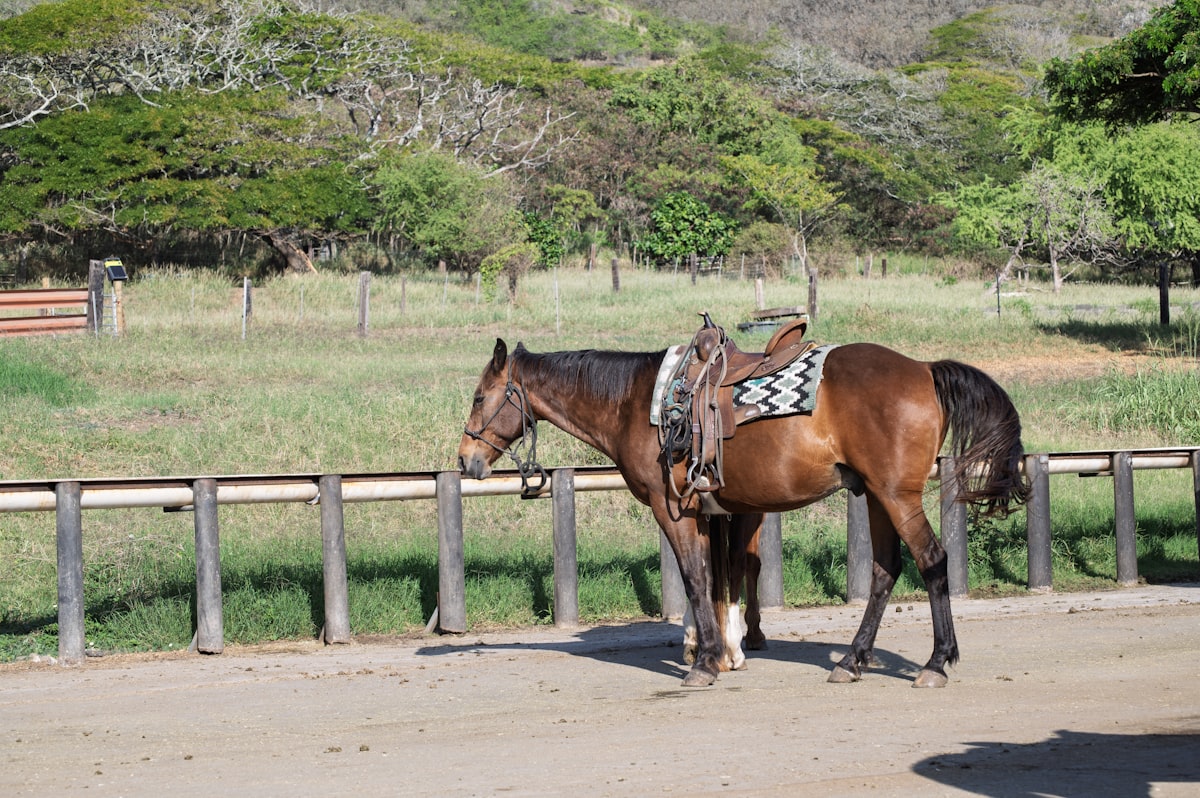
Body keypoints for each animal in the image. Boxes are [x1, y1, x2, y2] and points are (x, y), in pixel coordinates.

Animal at [458, 332, 1027, 688]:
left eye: (481, 397)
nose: (466, 459)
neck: (639, 403)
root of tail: (924, 370)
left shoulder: (673, 510)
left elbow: (695, 579)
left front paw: (707, 661)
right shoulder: (708, 512)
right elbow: (711, 579)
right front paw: (714, 651)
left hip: (895, 495)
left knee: (932, 562)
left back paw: (936, 662)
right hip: (876, 496)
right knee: (886, 571)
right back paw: (852, 659)